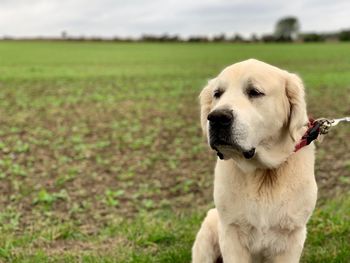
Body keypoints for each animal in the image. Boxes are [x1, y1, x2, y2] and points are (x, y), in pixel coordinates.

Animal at [191, 59, 318, 263]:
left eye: (254, 92)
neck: (263, 173)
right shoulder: (231, 232)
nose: (217, 117)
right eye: (217, 94)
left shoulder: (292, 236)